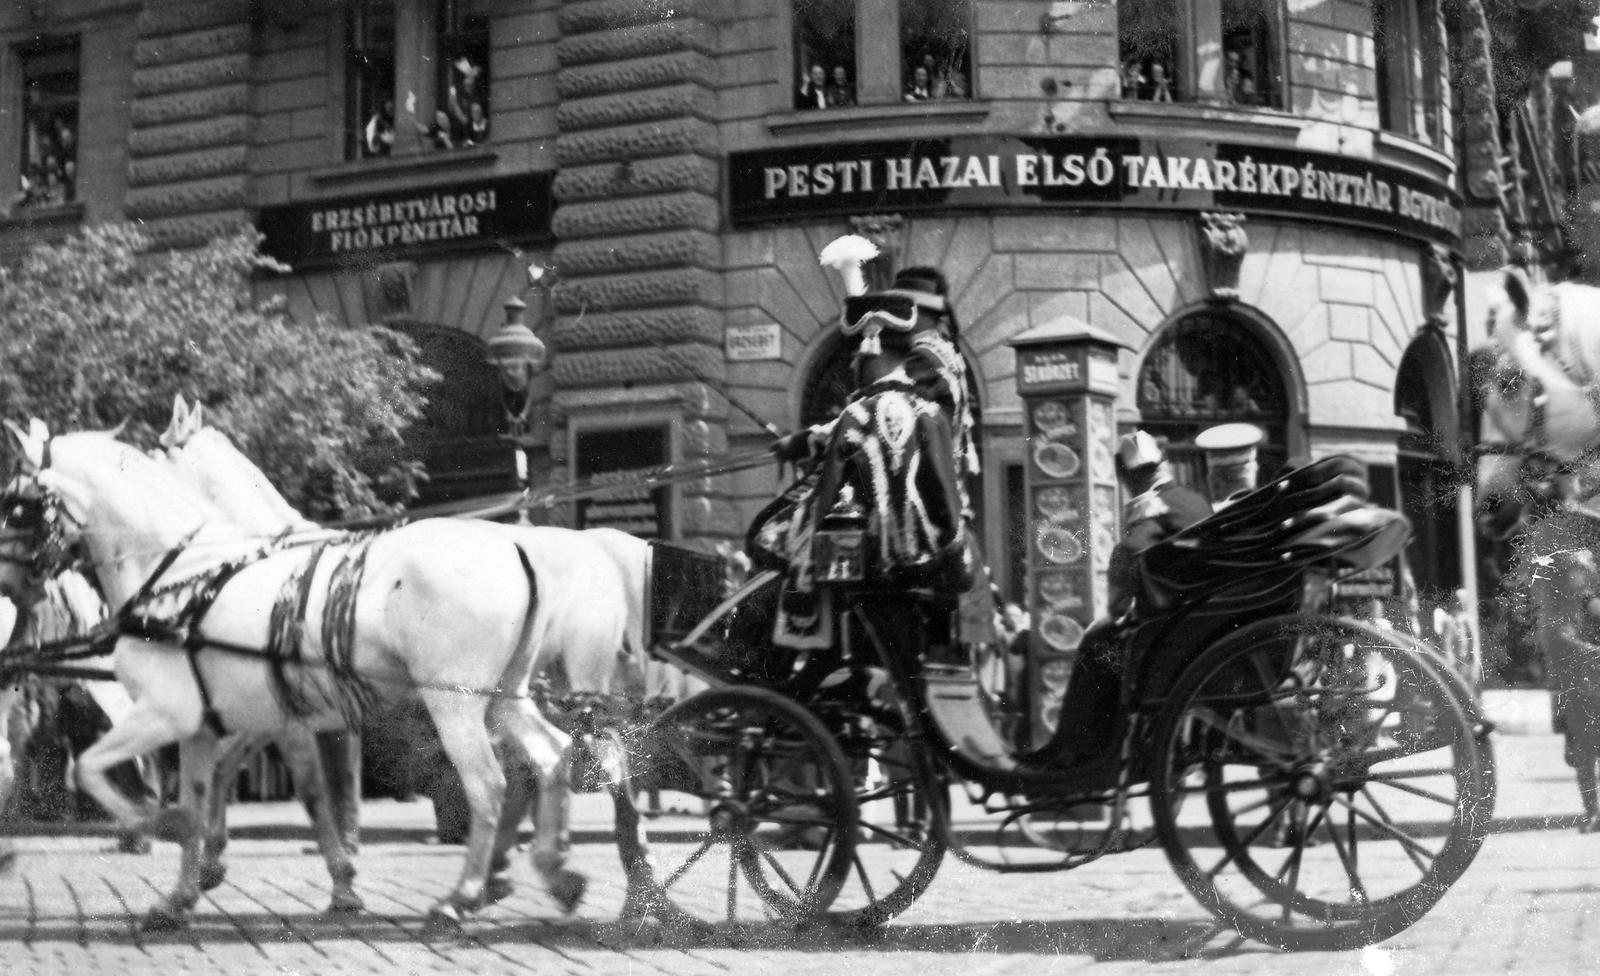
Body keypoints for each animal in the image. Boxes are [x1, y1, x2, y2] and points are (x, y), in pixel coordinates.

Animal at [0, 422, 636, 928]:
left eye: (14, 502)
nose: (8, 591)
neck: (185, 577)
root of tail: (517, 547)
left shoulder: (173, 714)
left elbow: (91, 769)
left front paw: (151, 824)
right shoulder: (211, 725)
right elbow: (201, 797)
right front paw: (181, 892)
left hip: (454, 701)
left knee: (491, 784)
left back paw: (466, 894)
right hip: (505, 695)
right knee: (553, 756)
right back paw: (556, 871)